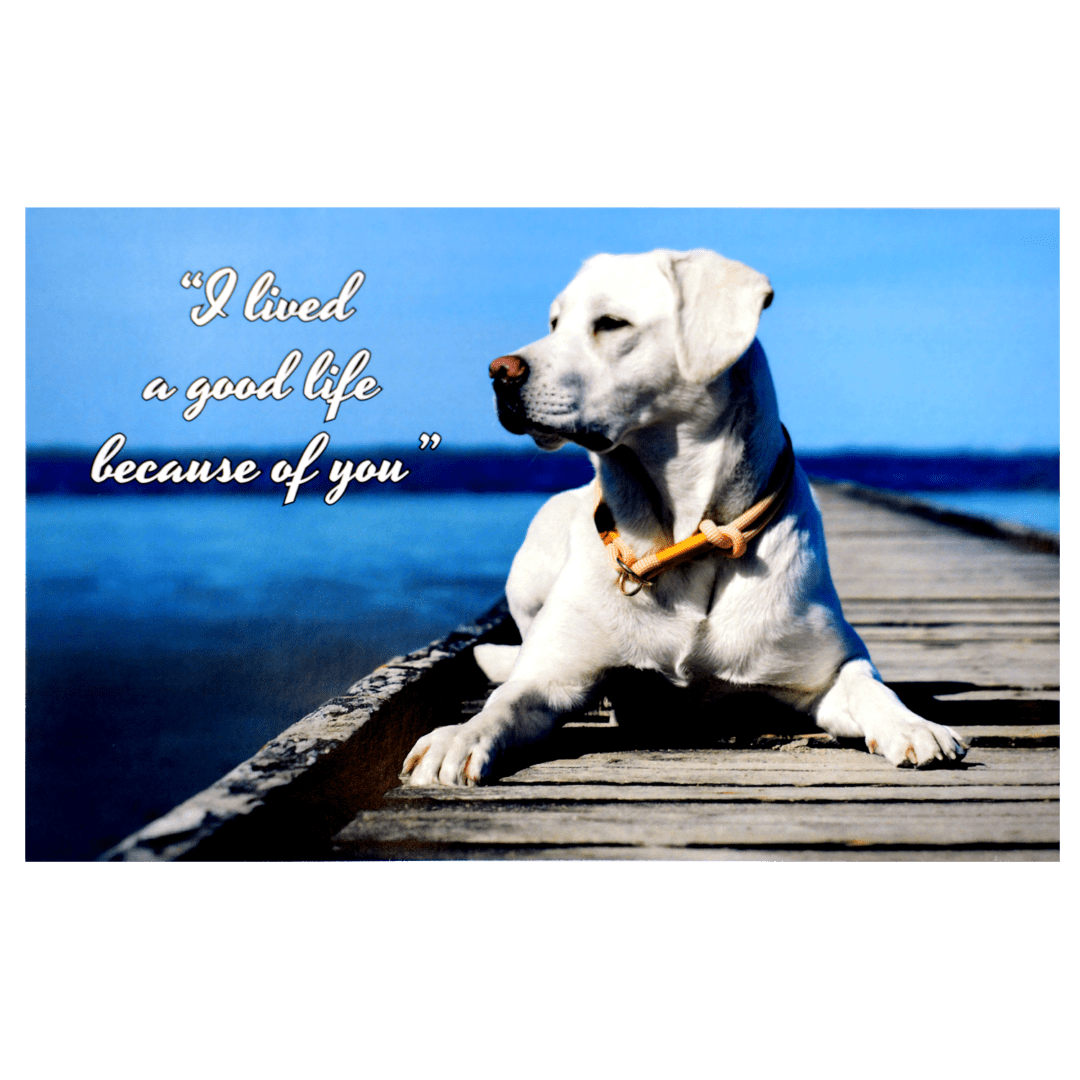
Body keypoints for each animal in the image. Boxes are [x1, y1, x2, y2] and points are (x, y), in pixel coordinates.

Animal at [401, 249, 967, 790]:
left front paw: (914, 725)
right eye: (555, 322)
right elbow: (504, 702)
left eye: (610, 323)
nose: (499, 371)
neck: (681, 540)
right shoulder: (549, 678)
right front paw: (457, 737)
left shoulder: (827, 667)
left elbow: (869, 686)